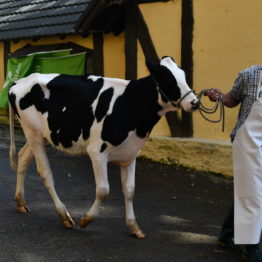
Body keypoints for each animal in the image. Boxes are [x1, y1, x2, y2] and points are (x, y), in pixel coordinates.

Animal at [8, 56, 199, 238]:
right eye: (168, 79)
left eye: (184, 75)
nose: (195, 102)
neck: (131, 104)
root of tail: (19, 82)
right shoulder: (97, 152)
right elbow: (103, 190)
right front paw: (86, 220)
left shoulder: (130, 153)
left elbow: (130, 190)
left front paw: (134, 226)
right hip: (33, 133)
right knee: (45, 173)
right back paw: (64, 215)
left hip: (40, 135)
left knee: (23, 157)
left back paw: (21, 202)